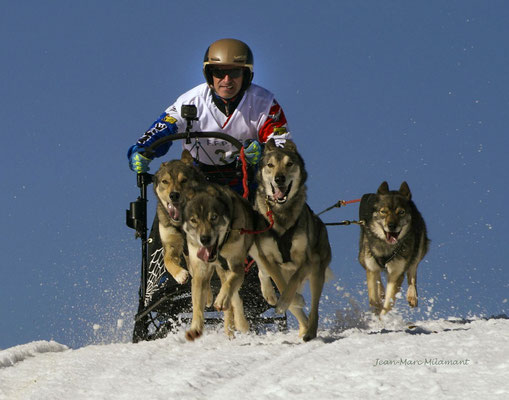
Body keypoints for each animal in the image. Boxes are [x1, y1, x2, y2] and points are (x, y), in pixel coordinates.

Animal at [153, 149, 206, 284]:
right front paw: (180, 274)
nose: (174, 195)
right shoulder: (170, 241)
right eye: (165, 181)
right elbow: (167, 260)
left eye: (184, 180)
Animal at [183, 183, 254, 340]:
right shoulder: (200, 272)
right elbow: (197, 304)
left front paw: (222, 300)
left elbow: (229, 286)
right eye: (194, 220)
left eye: (214, 217)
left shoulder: (237, 266)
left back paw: (238, 323)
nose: (204, 239)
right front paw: (195, 327)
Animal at [249, 139, 330, 342]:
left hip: (317, 270)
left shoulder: (306, 260)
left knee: (314, 307)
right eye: (270, 165)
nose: (279, 178)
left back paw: (310, 331)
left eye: (289, 164)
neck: (281, 213)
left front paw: (290, 299)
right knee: (265, 274)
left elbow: (292, 284)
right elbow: (280, 283)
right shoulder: (268, 257)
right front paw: (288, 299)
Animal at [358, 181, 428, 316]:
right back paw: (381, 292)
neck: (386, 247)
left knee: (412, 270)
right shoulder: (371, 267)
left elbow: (388, 303)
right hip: (363, 258)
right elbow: (373, 299)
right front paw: (376, 311)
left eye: (401, 212)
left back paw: (412, 296)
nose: (391, 225)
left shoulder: (396, 273)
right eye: (383, 212)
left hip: (418, 248)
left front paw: (382, 318)